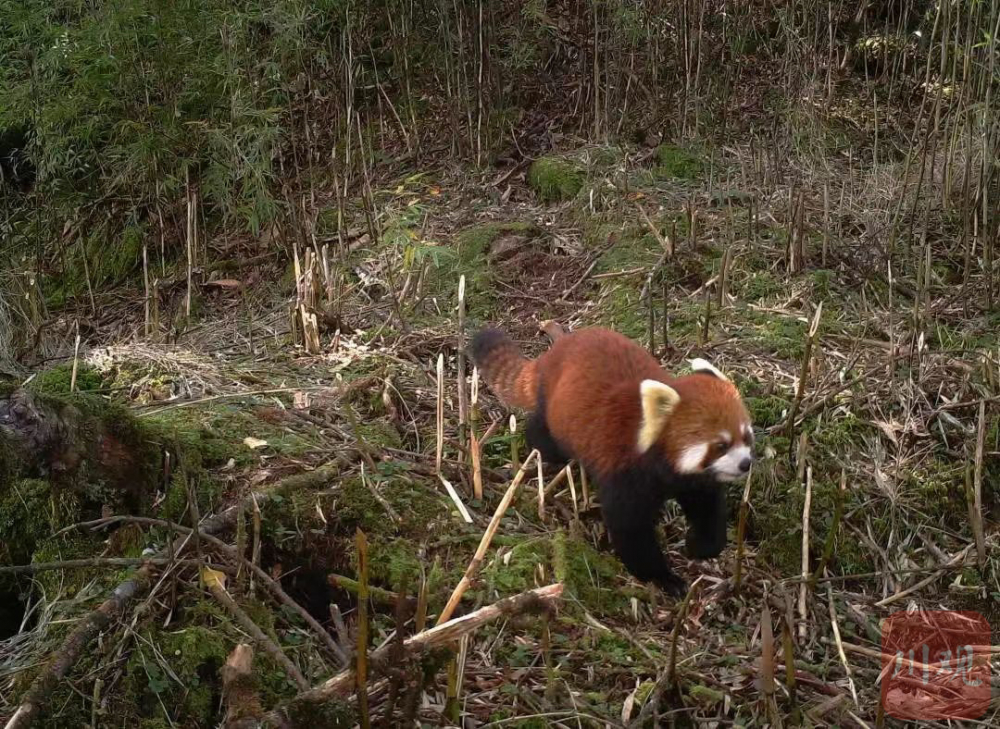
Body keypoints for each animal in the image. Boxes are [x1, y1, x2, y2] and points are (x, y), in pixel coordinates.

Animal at [472, 326, 752, 596]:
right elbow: (630, 528)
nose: (746, 463)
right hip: (555, 414)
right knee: (544, 435)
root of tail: (553, 352)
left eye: (746, 436)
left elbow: (707, 506)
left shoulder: (691, 480)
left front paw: (700, 546)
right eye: (721, 445)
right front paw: (663, 577)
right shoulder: (624, 469)